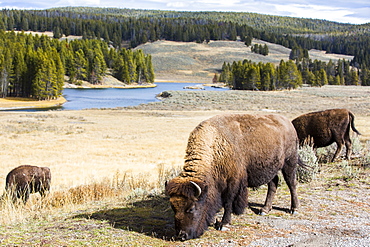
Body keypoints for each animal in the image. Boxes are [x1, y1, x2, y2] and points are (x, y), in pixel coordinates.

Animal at [166, 114, 304, 241]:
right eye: (173, 207)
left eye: (191, 208)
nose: (182, 235)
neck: (216, 146)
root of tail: (288, 122)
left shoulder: (232, 182)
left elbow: (228, 202)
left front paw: (223, 224)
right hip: (271, 168)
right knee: (273, 184)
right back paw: (264, 209)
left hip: (289, 162)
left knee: (291, 183)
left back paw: (294, 209)